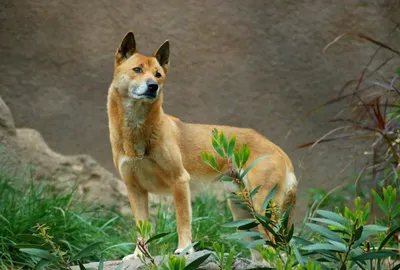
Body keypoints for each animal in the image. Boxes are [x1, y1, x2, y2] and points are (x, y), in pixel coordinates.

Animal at [107, 32, 296, 262]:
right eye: (137, 69)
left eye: (158, 74)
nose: (153, 86)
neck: (136, 131)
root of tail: (280, 151)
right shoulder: (135, 189)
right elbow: (142, 228)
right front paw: (138, 256)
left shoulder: (180, 181)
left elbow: (183, 221)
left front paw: (184, 249)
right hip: (243, 212)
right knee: (261, 251)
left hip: (262, 207)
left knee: (279, 247)